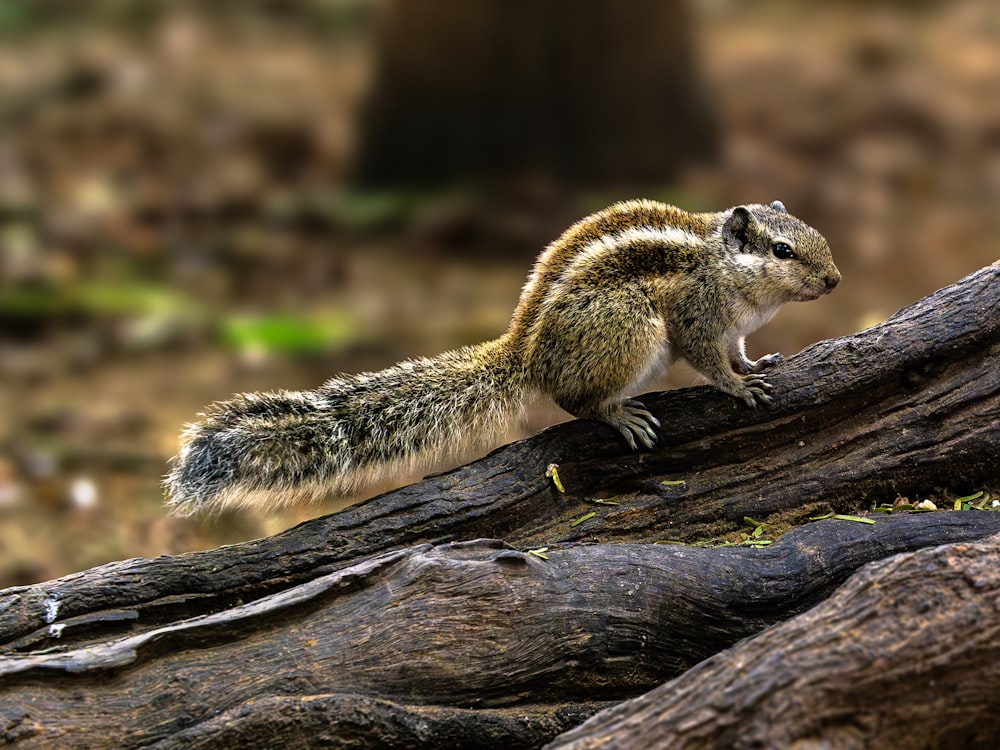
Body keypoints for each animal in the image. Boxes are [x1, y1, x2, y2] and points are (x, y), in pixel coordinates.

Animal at [166, 200, 844, 516]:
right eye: (783, 250)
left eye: (814, 235)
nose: (836, 281)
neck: (727, 270)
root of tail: (525, 353)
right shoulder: (697, 318)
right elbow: (709, 359)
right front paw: (737, 387)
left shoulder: (735, 329)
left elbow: (739, 350)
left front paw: (755, 367)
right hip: (628, 325)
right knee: (574, 401)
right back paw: (618, 414)